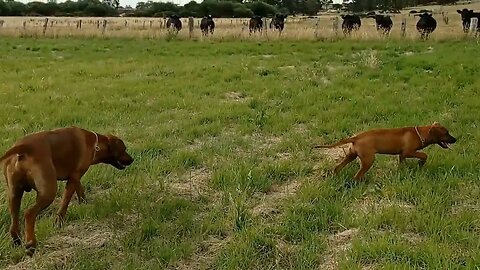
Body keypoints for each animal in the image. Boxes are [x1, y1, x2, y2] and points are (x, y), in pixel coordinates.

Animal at [1, 126, 135, 255]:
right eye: (124, 149)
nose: (132, 159)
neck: (95, 144)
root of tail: (24, 148)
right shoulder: (73, 178)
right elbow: (65, 202)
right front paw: (59, 222)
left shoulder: (75, 176)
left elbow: (80, 190)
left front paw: (84, 204)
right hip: (49, 191)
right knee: (29, 214)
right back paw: (31, 244)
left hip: (14, 194)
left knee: (14, 219)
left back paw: (17, 240)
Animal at [316, 123, 456, 181]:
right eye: (446, 133)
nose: (455, 139)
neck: (419, 134)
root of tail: (356, 137)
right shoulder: (407, 152)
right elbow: (423, 155)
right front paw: (420, 164)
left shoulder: (401, 155)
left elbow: (402, 164)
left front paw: (404, 171)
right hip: (368, 159)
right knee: (357, 175)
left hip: (351, 155)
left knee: (337, 168)